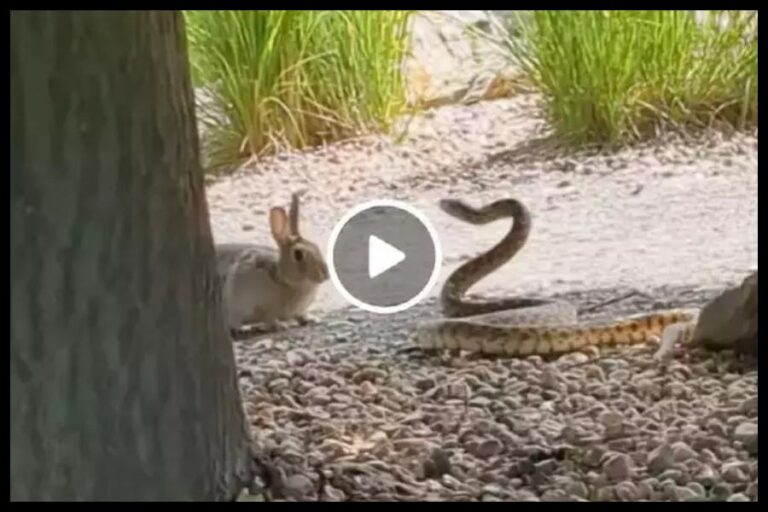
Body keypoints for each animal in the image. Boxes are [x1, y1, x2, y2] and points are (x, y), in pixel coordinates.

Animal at [215, 192, 329, 335]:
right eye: (298, 254)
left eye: (316, 246)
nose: (325, 274)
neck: (283, 278)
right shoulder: (261, 307)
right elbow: (269, 318)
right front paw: (280, 326)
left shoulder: (298, 310)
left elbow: (300, 315)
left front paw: (312, 319)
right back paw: (241, 330)